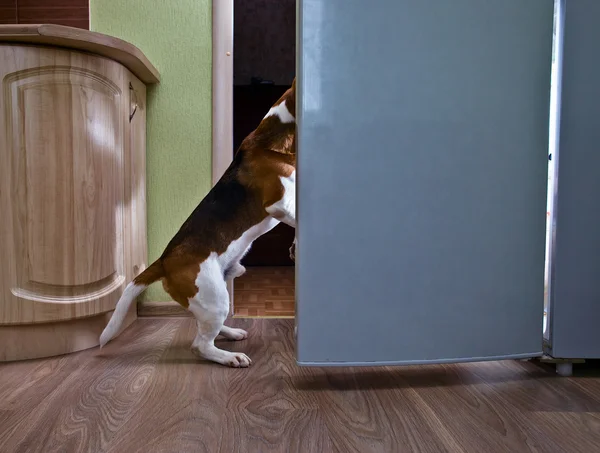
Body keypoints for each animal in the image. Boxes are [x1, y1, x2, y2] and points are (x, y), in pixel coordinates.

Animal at [100, 78, 298, 368]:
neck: (271, 140)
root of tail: (164, 261)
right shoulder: (278, 203)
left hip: (215, 292)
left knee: (203, 328)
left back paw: (231, 333)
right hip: (214, 297)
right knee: (200, 345)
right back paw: (229, 357)